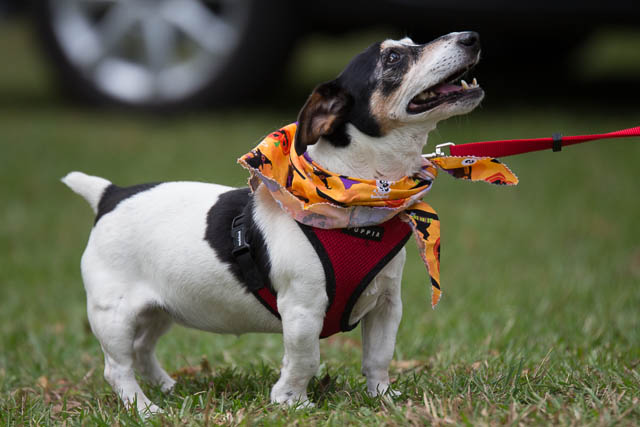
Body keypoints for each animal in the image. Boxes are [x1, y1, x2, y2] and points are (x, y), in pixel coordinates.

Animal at [62, 32, 482, 414]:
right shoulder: (303, 310)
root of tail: (110, 195)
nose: (471, 37)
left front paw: (382, 398)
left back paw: (165, 387)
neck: (361, 201)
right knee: (118, 367)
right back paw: (144, 407)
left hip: (159, 309)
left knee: (142, 349)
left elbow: (378, 357)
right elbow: (306, 358)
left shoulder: (386, 306)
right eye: (393, 57)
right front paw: (291, 401)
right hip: (114, 315)